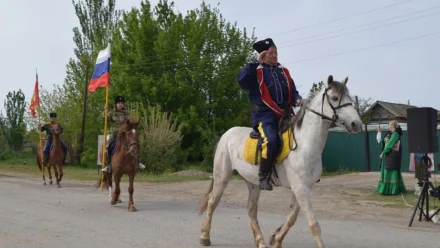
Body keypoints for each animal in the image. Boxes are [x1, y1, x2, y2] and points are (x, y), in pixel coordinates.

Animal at [199, 75, 360, 248]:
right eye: (335, 98)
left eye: (349, 97)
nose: (356, 124)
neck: (305, 144)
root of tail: (226, 134)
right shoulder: (300, 188)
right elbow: (313, 224)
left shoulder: (302, 188)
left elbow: (291, 218)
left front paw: (276, 240)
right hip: (222, 176)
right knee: (213, 201)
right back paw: (204, 236)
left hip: (253, 183)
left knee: (251, 210)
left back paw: (260, 241)